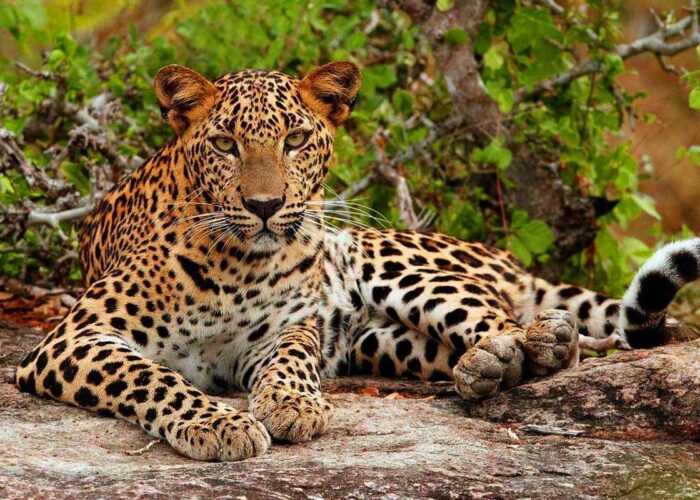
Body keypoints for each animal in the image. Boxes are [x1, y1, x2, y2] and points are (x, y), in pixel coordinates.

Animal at [16, 61, 700, 460]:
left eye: (295, 139)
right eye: (225, 143)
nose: (264, 206)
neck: (237, 266)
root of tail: (501, 254)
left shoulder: (282, 330)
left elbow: (291, 361)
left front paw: (291, 405)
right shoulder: (73, 338)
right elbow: (150, 376)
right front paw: (219, 424)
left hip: (385, 258)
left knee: (497, 310)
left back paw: (532, 345)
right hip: (380, 341)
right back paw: (492, 367)